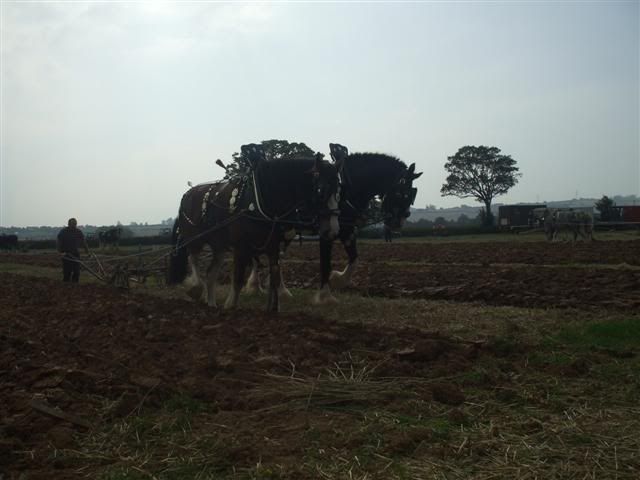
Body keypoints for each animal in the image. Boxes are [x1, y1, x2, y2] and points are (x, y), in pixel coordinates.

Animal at [168, 144, 342, 314]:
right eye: (321, 190)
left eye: (338, 190)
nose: (333, 230)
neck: (262, 199)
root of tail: (187, 194)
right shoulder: (241, 246)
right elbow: (238, 278)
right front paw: (230, 305)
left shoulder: (272, 246)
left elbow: (275, 276)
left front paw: (273, 308)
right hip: (194, 238)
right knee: (193, 258)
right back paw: (195, 288)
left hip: (219, 246)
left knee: (211, 273)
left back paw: (211, 304)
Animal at [248, 142, 422, 304]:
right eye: (401, 192)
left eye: (412, 193)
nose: (399, 221)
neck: (349, 189)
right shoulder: (327, 232)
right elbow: (326, 262)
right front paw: (325, 295)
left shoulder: (348, 231)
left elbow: (354, 258)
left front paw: (337, 279)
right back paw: (265, 287)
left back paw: (269, 288)